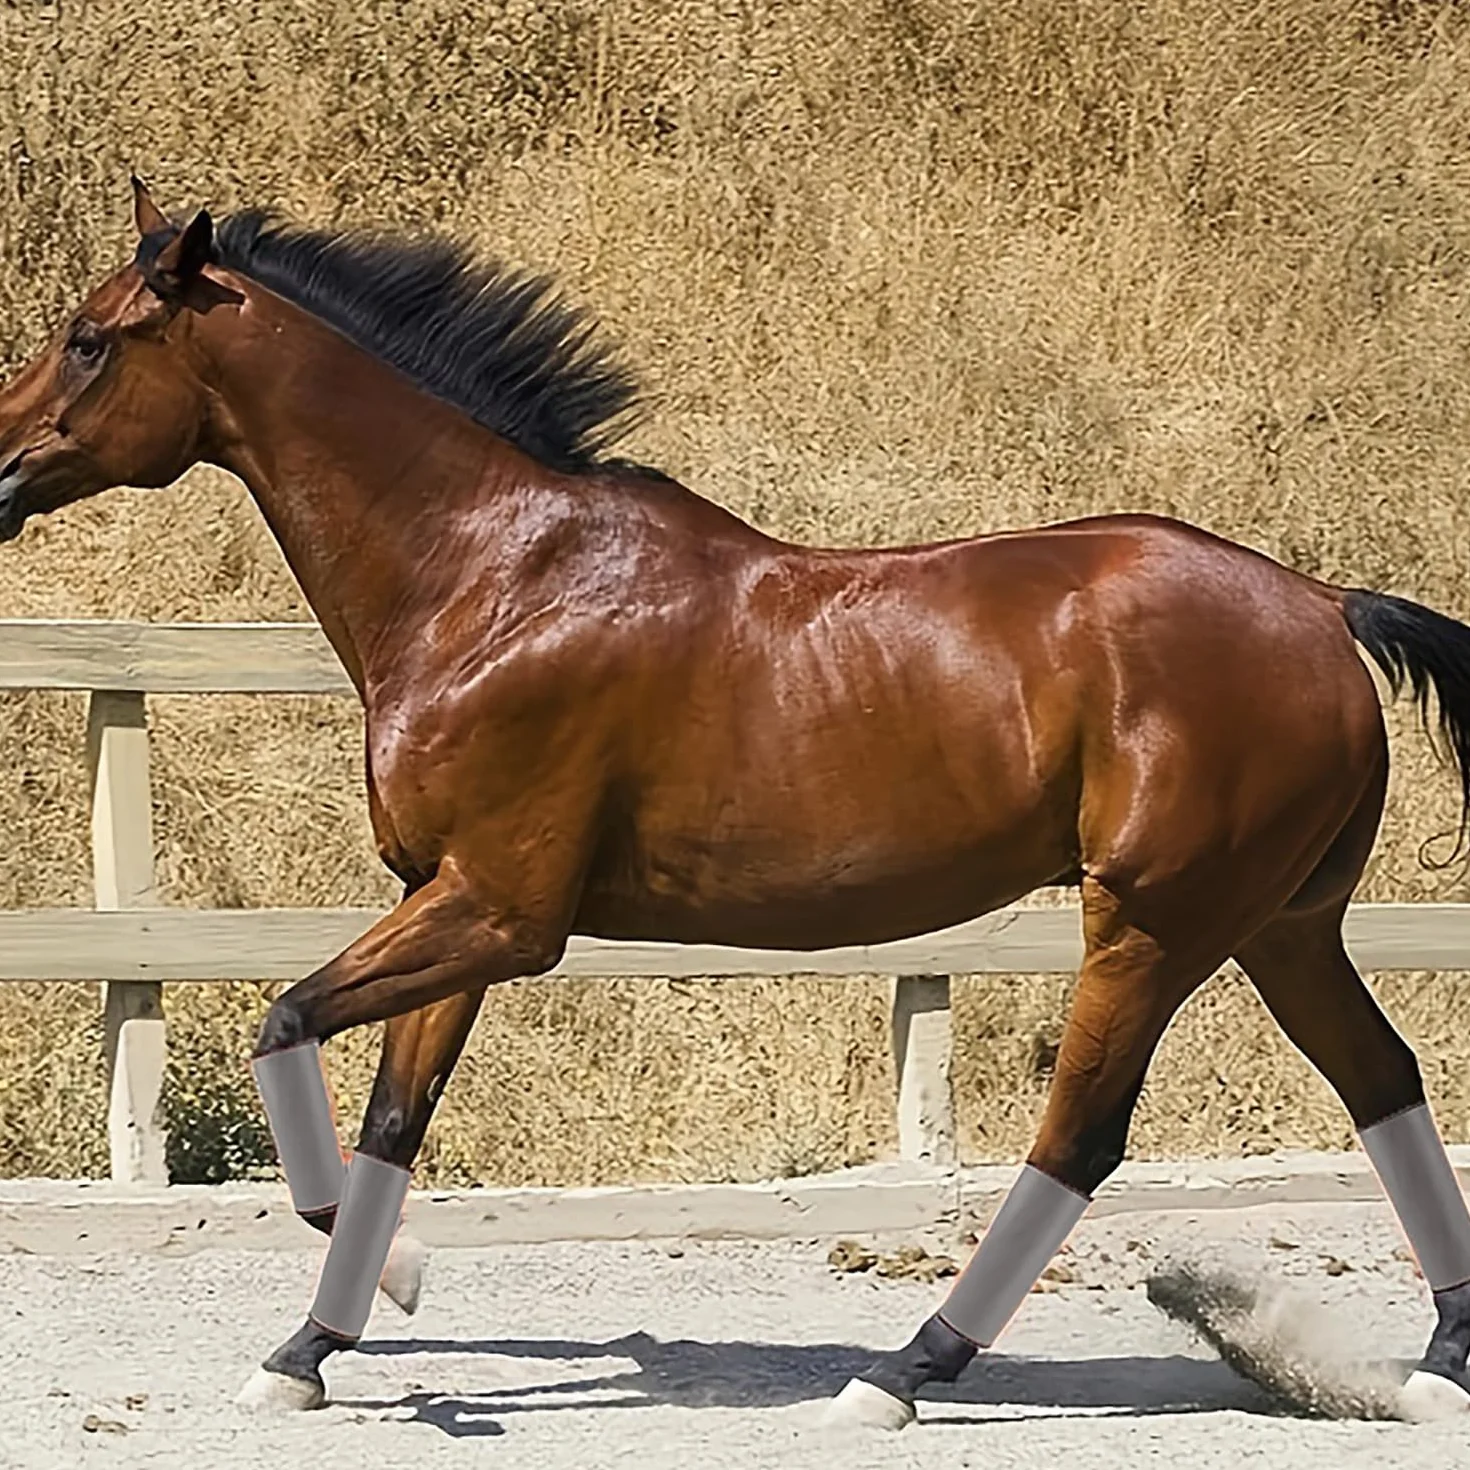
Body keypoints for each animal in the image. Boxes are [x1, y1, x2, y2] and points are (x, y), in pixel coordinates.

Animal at [4, 177, 1470, 1428]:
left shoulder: (500, 913)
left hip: (1156, 924)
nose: (0, 471)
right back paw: (1438, 1362)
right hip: (1280, 925)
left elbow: (284, 1021)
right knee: (1382, 1080)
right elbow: (389, 1118)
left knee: (1080, 1136)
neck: (491, 577)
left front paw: (393, 1288)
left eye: (88, 341)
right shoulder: (450, 903)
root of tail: (1322, 607)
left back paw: (902, 1371)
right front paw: (310, 1348)